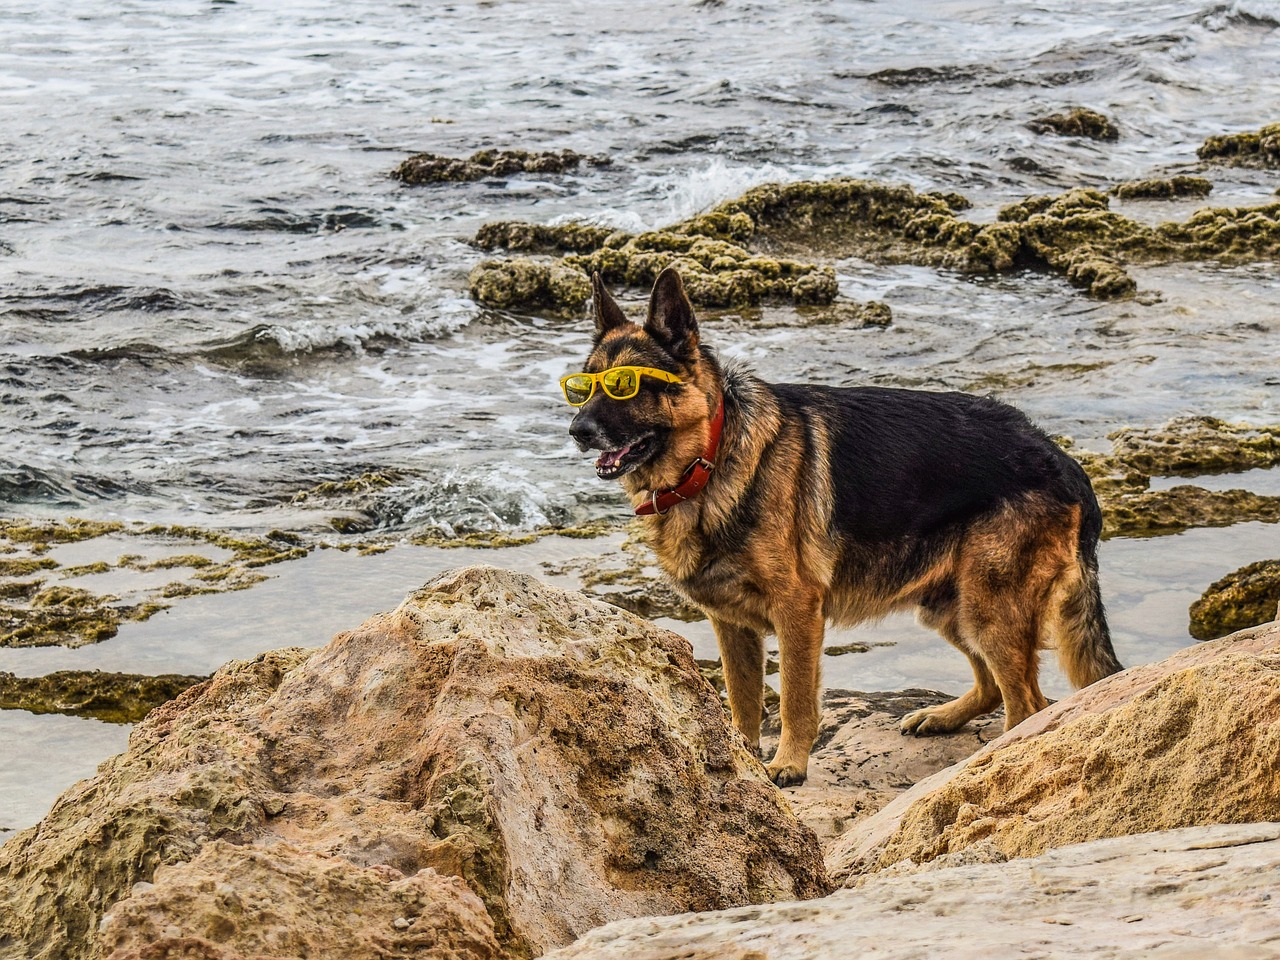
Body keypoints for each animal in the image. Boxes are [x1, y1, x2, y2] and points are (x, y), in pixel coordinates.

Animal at [560, 267, 1121, 783]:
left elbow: (794, 698)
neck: (712, 458)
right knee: (992, 688)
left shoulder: (797, 612)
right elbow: (742, 701)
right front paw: (741, 761)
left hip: (989, 608)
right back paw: (942, 718)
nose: (577, 430)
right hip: (950, 605)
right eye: (583, 387)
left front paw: (787, 764)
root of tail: (1061, 458)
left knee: (1028, 705)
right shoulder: (732, 625)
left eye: (626, 386)